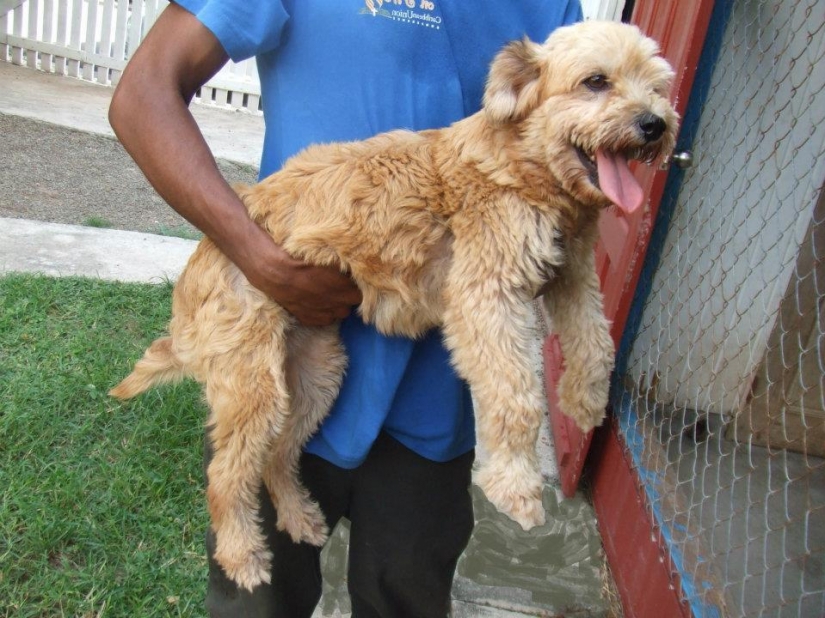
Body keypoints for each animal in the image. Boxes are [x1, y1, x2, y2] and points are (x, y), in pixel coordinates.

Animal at [109, 19, 676, 588]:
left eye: (657, 86)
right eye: (596, 81)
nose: (655, 125)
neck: (521, 166)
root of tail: (197, 267)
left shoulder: (573, 274)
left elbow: (596, 340)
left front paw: (585, 401)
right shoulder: (485, 295)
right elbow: (516, 396)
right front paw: (515, 486)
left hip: (315, 375)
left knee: (277, 458)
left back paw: (297, 516)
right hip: (254, 387)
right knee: (225, 475)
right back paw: (241, 554)